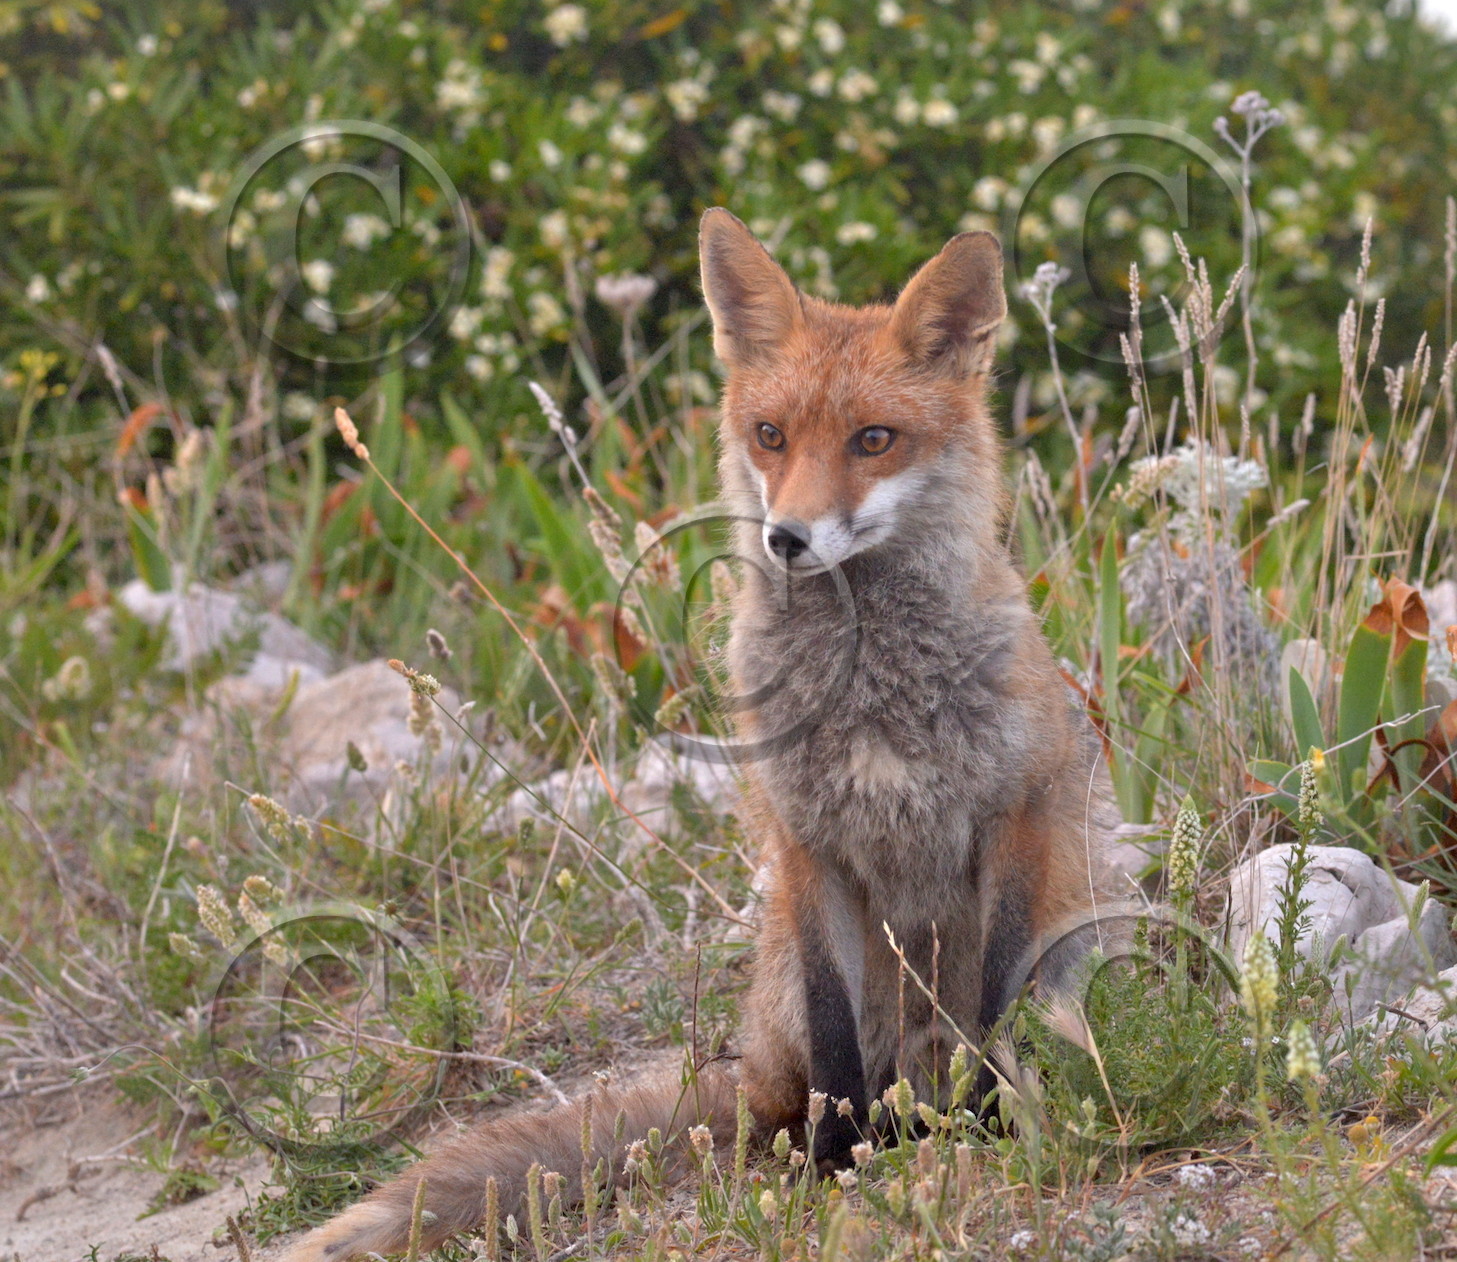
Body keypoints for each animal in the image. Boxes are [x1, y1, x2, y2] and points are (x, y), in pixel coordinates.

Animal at [277, 210, 1119, 1262]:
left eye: (873, 440)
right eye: (770, 436)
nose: (786, 538)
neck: (871, 690)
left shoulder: (1014, 821)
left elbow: (997, 1010)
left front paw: (996, 1126)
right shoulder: (808, 847)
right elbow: (836, 1041)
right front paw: (834, 1167)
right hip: (790, 996)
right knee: (793, 1097)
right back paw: (857, 1135)